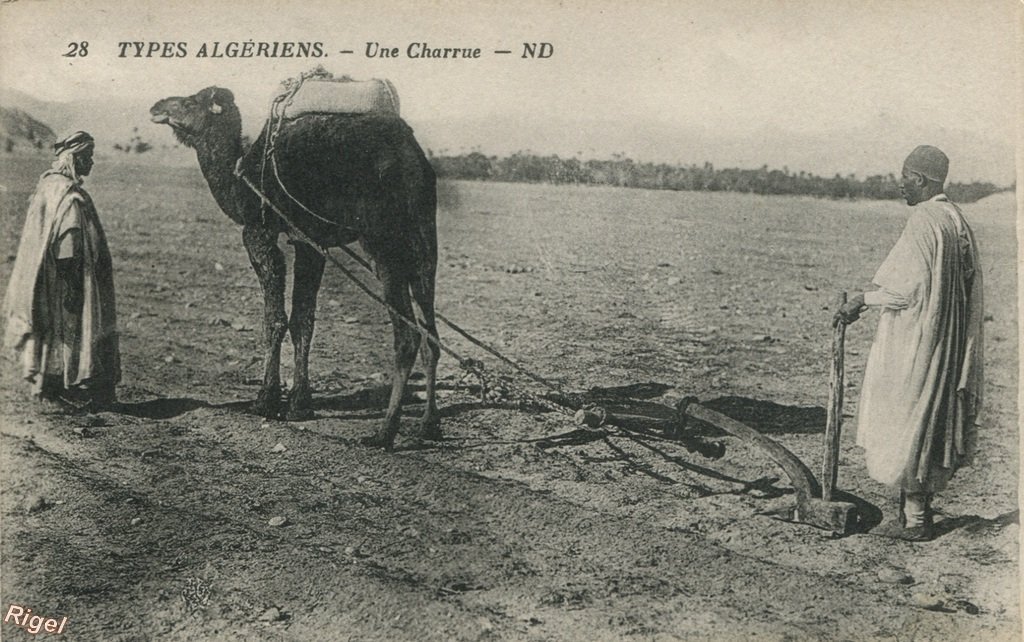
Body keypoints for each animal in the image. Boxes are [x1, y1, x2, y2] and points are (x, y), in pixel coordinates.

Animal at [149, 86, 438, 452]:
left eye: (188, 102)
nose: (156, 107)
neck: (242, 180)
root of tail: (413, 159)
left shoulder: (259, 231)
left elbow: (274, 319)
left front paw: (266, 401)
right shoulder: (310, 242)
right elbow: (303, 320)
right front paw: (300, 404)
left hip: (384, 243)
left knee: (407, 336)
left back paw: (384, 432)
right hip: (424, 239)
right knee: (431, 332)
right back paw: (428, 425)